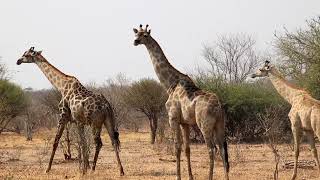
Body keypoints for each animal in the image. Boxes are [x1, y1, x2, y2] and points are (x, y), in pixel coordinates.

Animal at [16, 47, 124, 175]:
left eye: (26, 54)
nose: (18, 61)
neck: (61, 86)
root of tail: (107, 106)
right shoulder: (78, 122)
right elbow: (83, 143)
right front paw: (84, 168)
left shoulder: (63, 116)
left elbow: (57, 141)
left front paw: (48, 169)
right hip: (108, 121)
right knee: (114, 141)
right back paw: (121, 171)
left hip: (95, 123)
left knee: (99, 143)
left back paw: (93, 169)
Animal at [133, 24, 230, 180]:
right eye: (136, 34)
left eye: (145, 36)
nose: (135, 41)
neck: (170, 84)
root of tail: (219, 107)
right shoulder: (185, 123)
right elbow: (187, 148)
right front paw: (190, 177)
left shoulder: (173, 118)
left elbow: (177, 147)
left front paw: (178, 176)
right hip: (220, 125)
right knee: (222, 149)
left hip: (205, 125)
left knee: (212, 149)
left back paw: (209, 177)